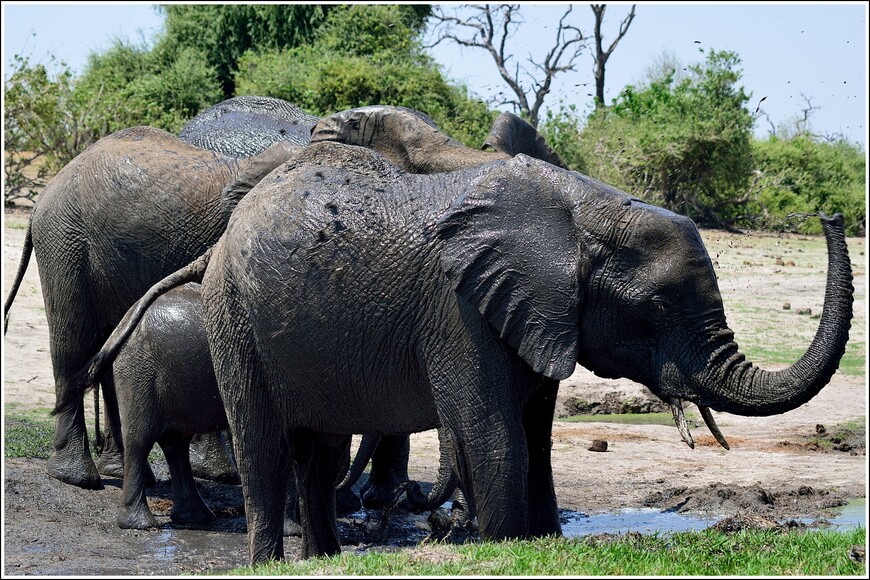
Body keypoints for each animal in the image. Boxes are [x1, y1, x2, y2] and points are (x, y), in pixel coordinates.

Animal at [181, 140, 856, 560]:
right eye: (660, 307)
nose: (831, 214)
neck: (585, 212)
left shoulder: (540, 314)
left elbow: (536, 438)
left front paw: (545, 542)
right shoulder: (458, 308)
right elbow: (495, 434)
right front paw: (507, 546)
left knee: (319, 452)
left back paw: (323, 558)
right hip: (231, 313)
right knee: (263, 450)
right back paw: (269, 561)